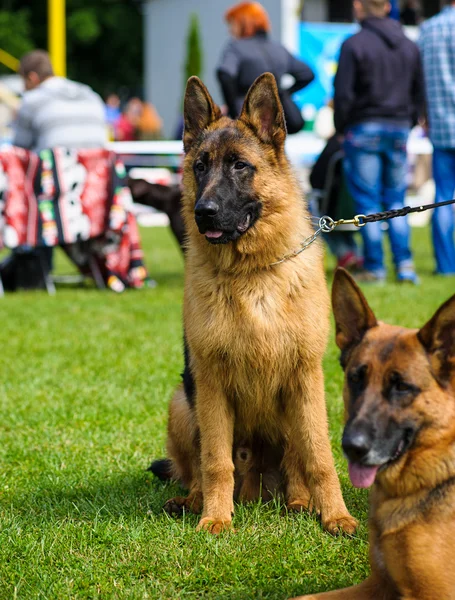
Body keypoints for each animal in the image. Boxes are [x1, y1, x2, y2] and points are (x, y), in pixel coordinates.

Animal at [151, 72, 358, 536]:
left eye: (239, 166)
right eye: (200, 166)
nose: (203, 212)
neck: (252, 275)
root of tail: (255, 490)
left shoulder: (306, 378)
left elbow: (320, 458)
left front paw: (335, 515)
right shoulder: (209, 384)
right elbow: (215, 461)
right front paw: (215, 517)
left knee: (298, 462)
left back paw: (299, 501)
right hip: (182, 403)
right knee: (199, 468)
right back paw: (192, 501)